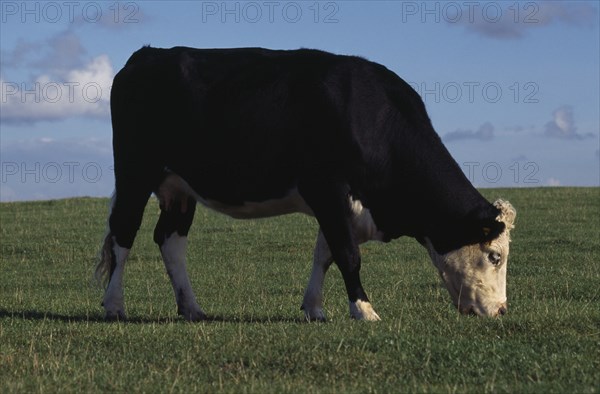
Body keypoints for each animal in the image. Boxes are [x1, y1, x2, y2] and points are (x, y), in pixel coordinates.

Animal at [95, 47, 516, 324]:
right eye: (495, 255)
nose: (501, 310)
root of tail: (147, 54)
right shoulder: (326, 187)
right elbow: (348, 254)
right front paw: (364, 310)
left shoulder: (340, 205)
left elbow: (325, 254)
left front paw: (314, 308)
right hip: (135, 171)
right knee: (123, 235)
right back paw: (114, 306)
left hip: (180, 188)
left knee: (170, 240)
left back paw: (191, 307)